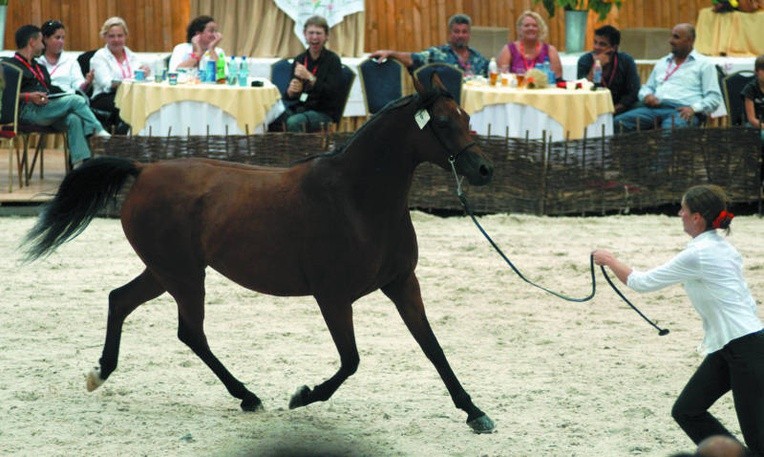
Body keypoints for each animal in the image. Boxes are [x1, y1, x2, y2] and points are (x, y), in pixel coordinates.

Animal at [22, 74, 496, 432]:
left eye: (466, 117)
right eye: (441, 122)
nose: (484, 170)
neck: (356, 199)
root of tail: (143, 170)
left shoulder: (402, 283)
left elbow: (432, 347)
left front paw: (474, 412)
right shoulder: (333, 297)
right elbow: (351, 361)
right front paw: (302, 396)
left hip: (164, 271)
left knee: (120, 300)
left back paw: (99, 373)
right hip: (183, 275)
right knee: (190, 333)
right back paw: (247, 396)